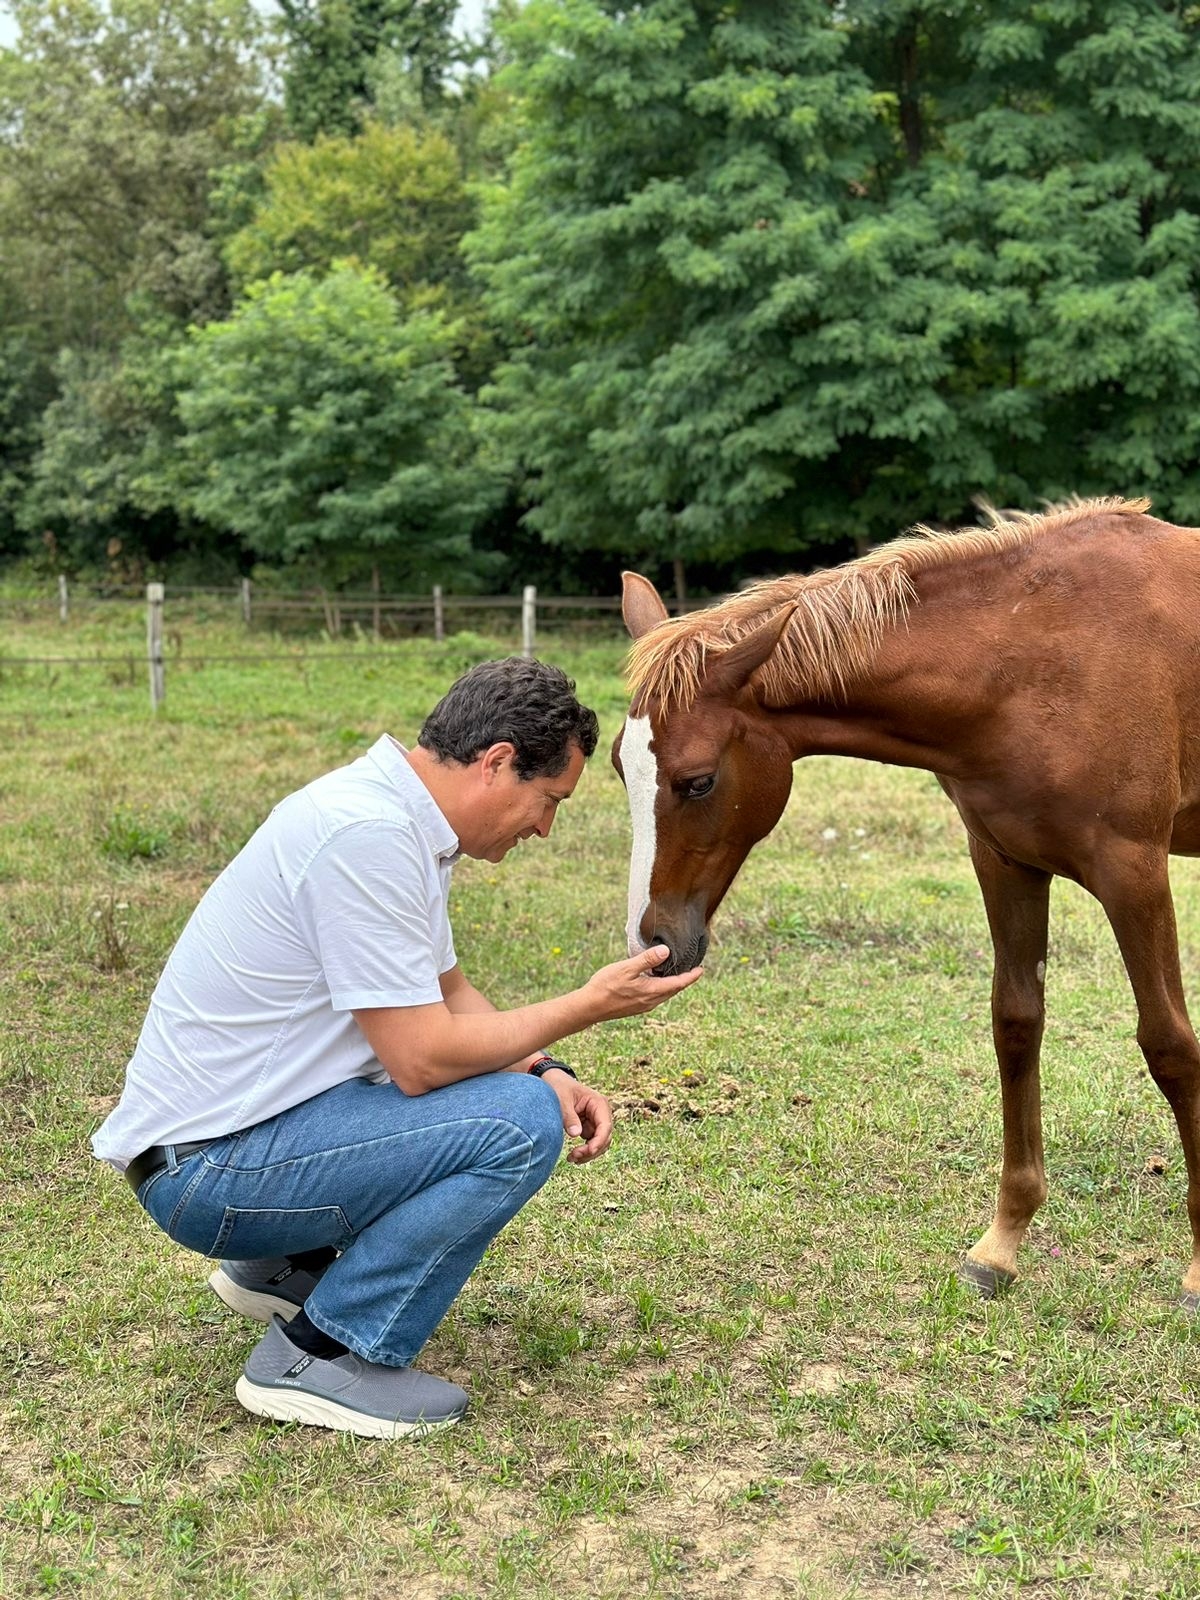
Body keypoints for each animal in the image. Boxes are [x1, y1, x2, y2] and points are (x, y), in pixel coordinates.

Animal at [613, 497, 1200, 1307]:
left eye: (696, 781)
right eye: (618, 766)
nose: (656, 944)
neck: (1035, 659)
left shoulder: (1133, 870)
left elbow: (1170, 1045)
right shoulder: (1005, 861)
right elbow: (1017, 1025)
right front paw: (1002, 1245)